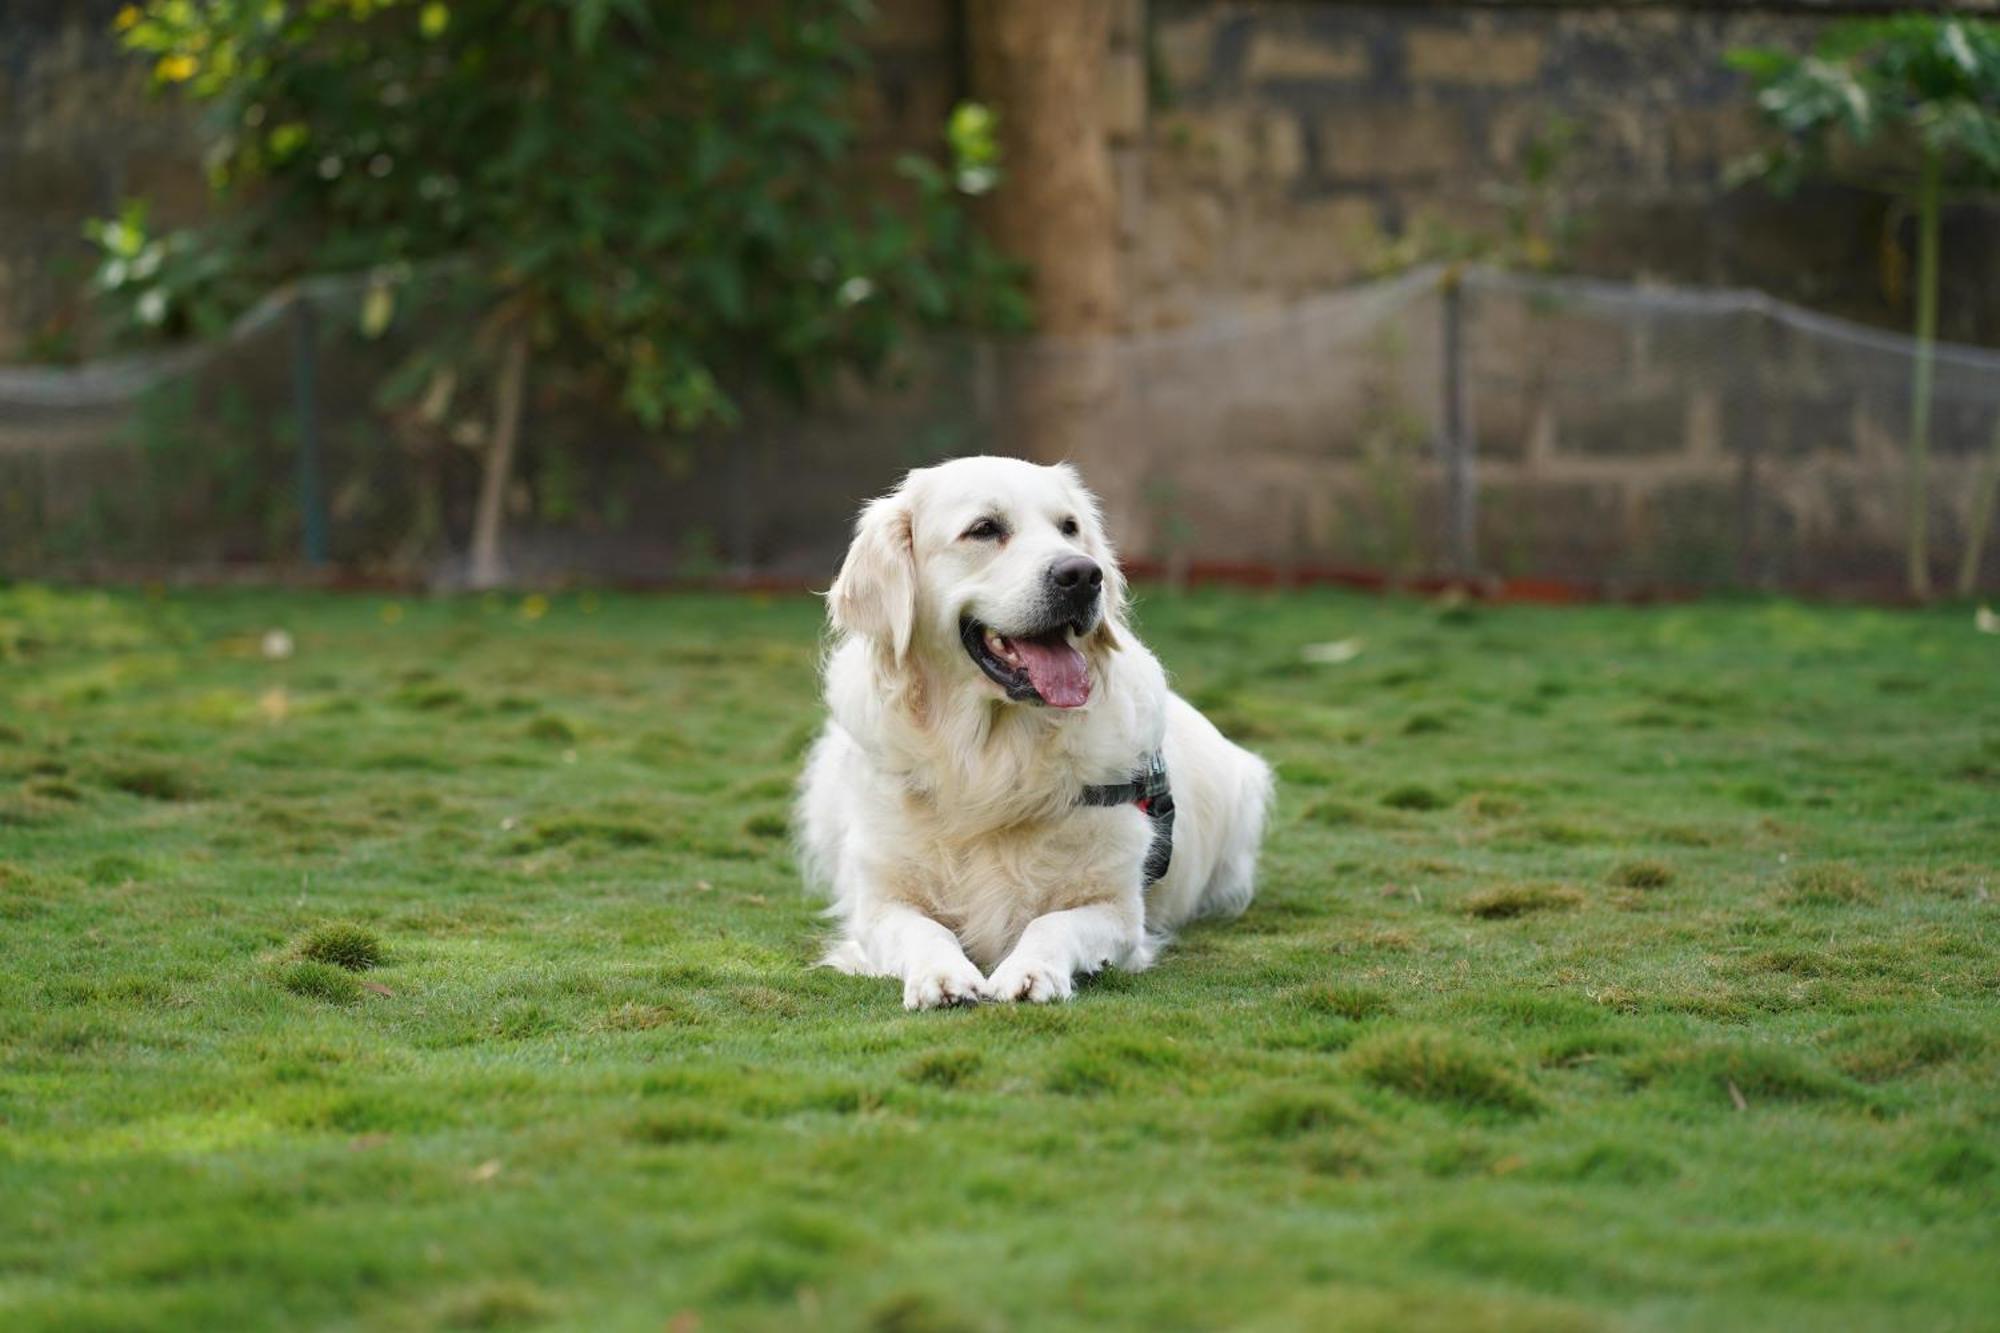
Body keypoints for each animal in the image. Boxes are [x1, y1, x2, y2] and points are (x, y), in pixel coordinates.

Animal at [792, 456, 1264, 1008]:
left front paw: (1031, 972)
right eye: (984, 529)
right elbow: (925, 930)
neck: (991, 759)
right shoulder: (880, 902)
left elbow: (1053, 923)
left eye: (1070, 528)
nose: (1083, 575)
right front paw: (941, 975)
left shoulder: (1117, 909)